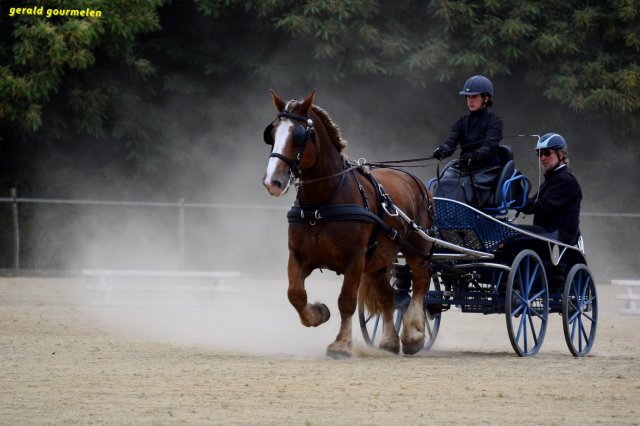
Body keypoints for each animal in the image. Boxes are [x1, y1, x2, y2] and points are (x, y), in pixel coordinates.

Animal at [262, 89, 434, 358]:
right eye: (272, 133)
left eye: (299, 135)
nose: (273, 182)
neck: (322, 203)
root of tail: (414, 179)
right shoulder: (298, 255)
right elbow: (295, 294)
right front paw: (318, 313)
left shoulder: (355, 258)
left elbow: (346, 301)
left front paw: (341, 344)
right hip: (378, 259)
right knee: (388, 295)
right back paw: (389, 342)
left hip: (416, 248)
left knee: (421, 282)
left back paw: (413, 335)